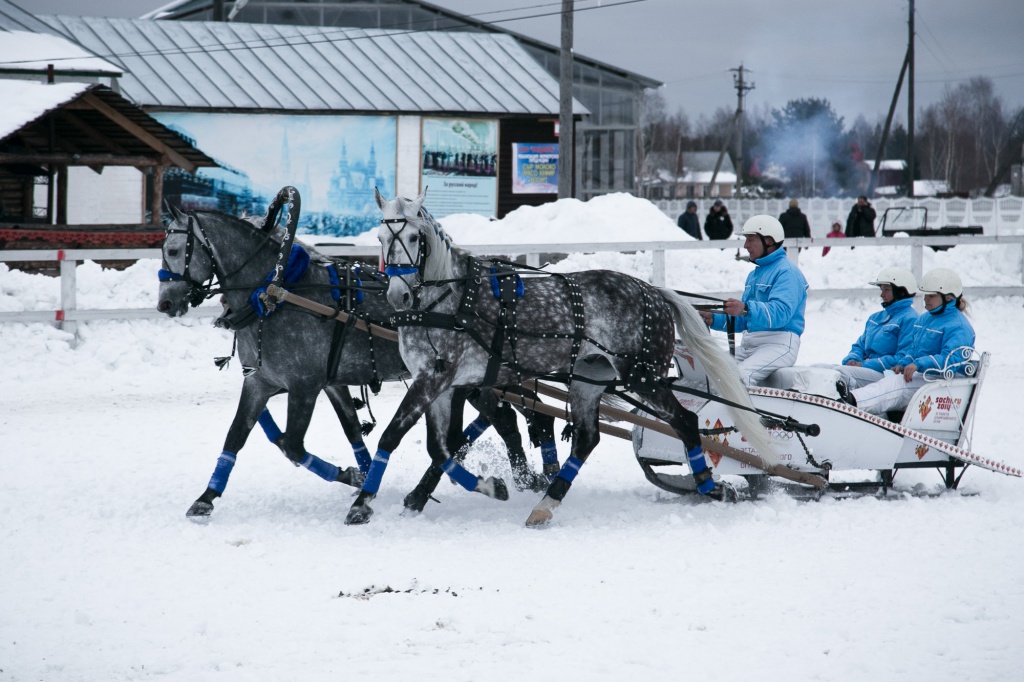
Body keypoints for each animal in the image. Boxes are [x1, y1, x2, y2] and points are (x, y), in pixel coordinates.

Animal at [155, 188, 552, 518]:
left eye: (174, 251)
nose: (165, 303)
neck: (278, 291)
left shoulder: (304, 386)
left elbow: (292, 445)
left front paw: (352, 478)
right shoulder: (269, 382)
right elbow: (238, 436)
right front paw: (206, 498)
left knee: (516, 420)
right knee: (501, 423)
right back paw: (518, 478)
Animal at [339, 189, 770, 524]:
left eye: (414, 236)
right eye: (380, 235)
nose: (398, 295)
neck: (448, 300)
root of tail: (654, 291)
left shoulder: (437, 380)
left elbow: (395, 436)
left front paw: (362, 504)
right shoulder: (440, 384)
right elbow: (440, 447)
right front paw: (486, 487)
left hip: (642, 376)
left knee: (686, 421)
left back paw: (711, 486)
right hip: (588, 380)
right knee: (587, 439)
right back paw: (547, 503)